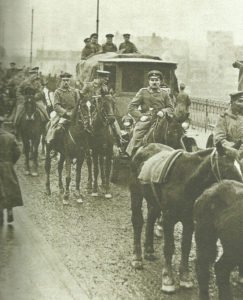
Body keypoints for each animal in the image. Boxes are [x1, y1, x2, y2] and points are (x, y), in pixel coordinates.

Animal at [130, 142, 242, 294]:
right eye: (228, 167)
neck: (186, 180)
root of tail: (144, 147)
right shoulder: (168, 218)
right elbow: (169, 247)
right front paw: (168, 278)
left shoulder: (189, 222)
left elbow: (186, 247)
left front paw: (185, 277)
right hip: (136, 194)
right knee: (137, 222)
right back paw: (137, 257)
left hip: (155, 202)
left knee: (151, 217)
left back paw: (149, 250)